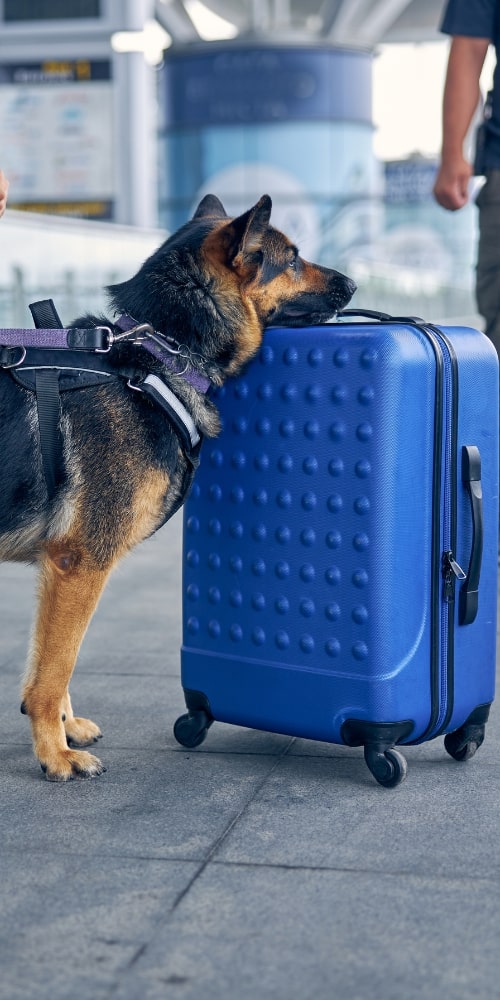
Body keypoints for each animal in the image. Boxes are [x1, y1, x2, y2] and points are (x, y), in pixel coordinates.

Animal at [1, 191, 358, 776]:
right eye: (293, 260)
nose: (352, 284)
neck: (160, 353)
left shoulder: (60, 568)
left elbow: (47, 662)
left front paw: (62, 730)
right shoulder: (80, 563)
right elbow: (55, 669)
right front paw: (56, 755)